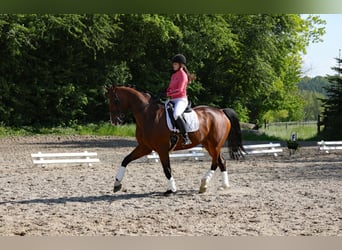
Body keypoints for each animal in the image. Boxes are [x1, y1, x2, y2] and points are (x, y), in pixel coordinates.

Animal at [105, 85, 244, 194]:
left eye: (115, 100)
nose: (114, 121)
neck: (148, 116)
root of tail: (221, 111)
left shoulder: (162, 149)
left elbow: (167, 169)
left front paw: (171, 189)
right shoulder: (145, 147)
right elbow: (126, 160)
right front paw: (117, 184)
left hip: (215, 145)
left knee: (215, 162)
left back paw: (204, 184)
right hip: (209, 144)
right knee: (222, 161)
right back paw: (224, 186)